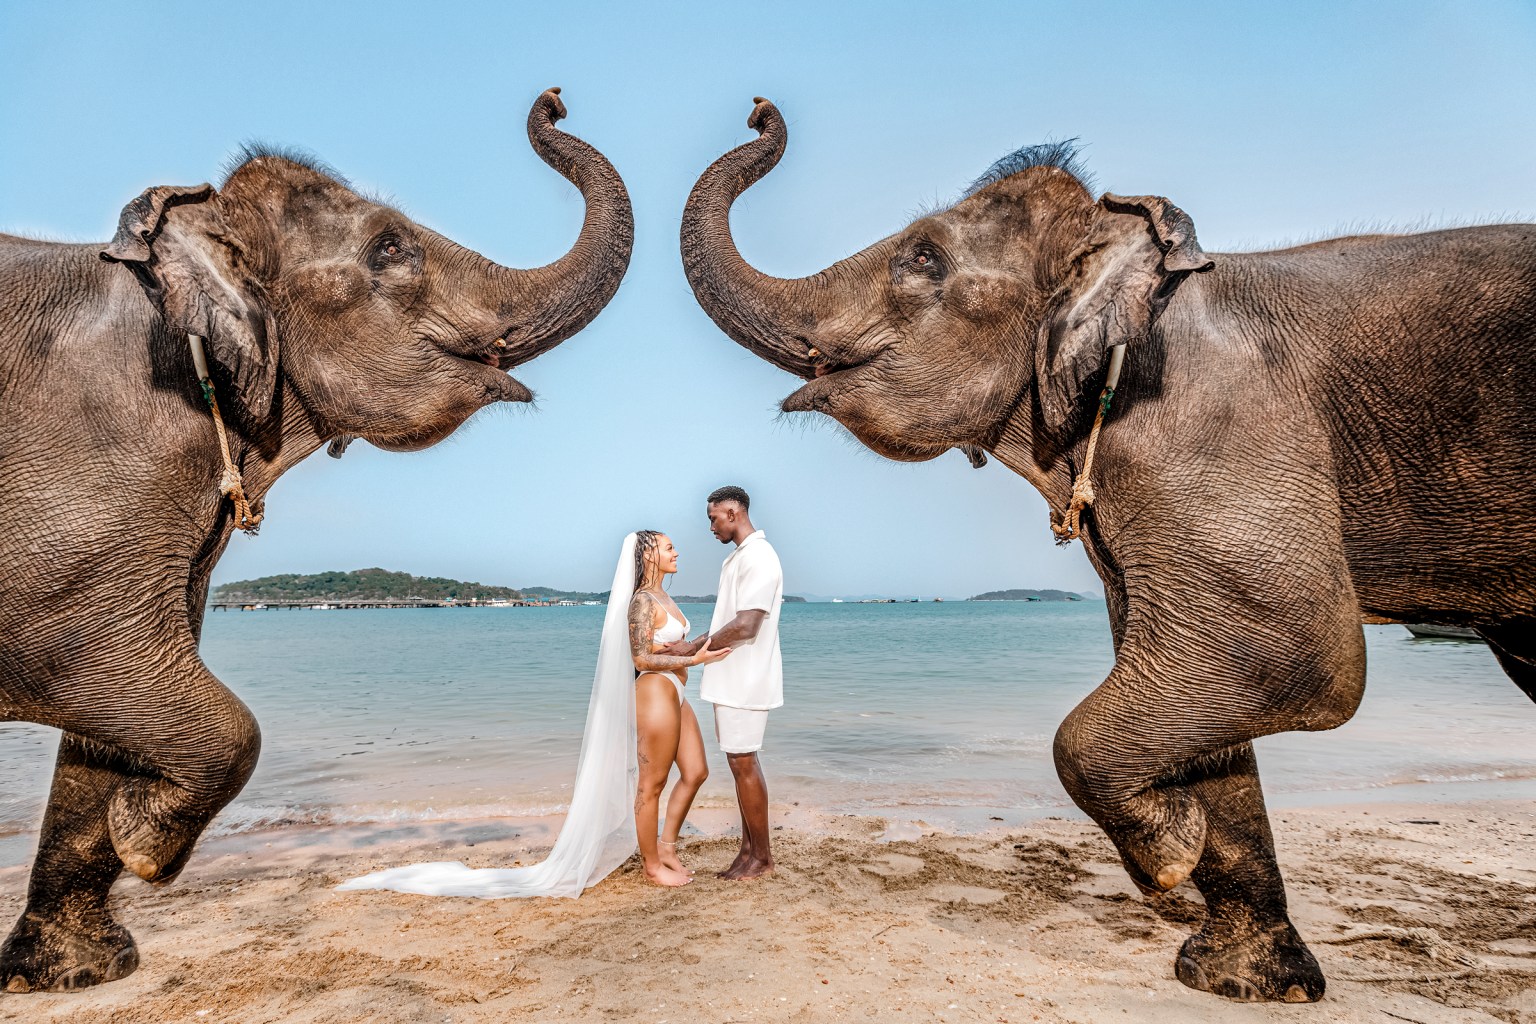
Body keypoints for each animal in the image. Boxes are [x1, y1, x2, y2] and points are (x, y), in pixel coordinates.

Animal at [0, 89, 632, 992]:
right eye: (391, 247)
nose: (554, 100)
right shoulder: (79, 483)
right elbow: (84, 658)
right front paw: (149, 847)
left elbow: (106, 718)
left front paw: (82, 964)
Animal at [681, 99, 1536, 1003]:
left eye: (922, 257)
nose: (761, 111)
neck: (1128, 260)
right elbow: (1208, 691)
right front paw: (1243, 977)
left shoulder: (1217, 429)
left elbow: (1288, 652)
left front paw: (1166, 856)